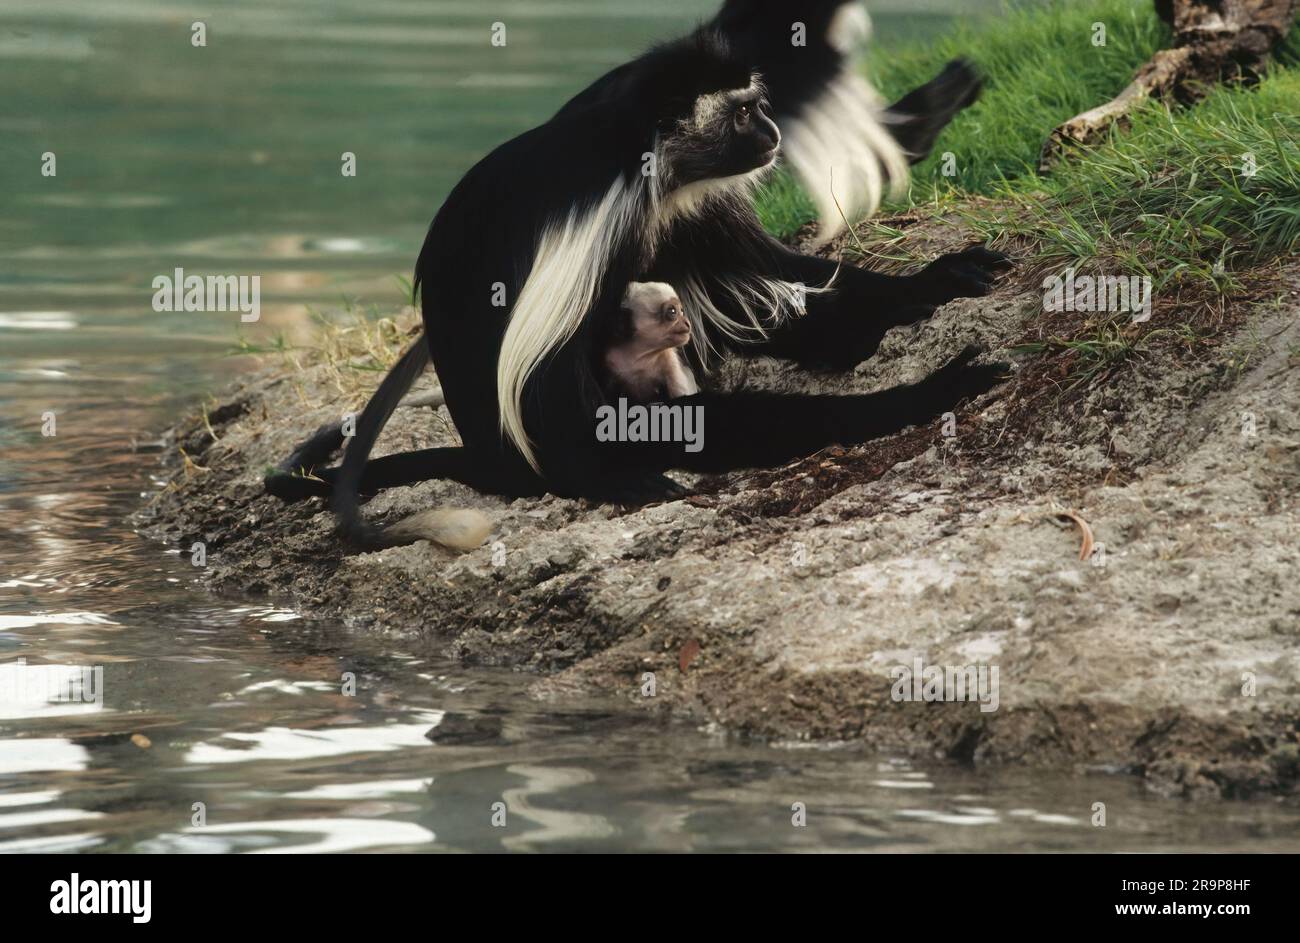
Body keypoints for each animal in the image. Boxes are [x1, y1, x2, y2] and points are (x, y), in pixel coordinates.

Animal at [264, 3, 1011, 546]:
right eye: (744, 111)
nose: (772, 132)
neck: (650, 157)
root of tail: (486, 455)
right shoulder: (607, 213)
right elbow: (558, 384)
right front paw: (936, 389)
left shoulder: (693, 202)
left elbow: (789, 274)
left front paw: (938, 278)